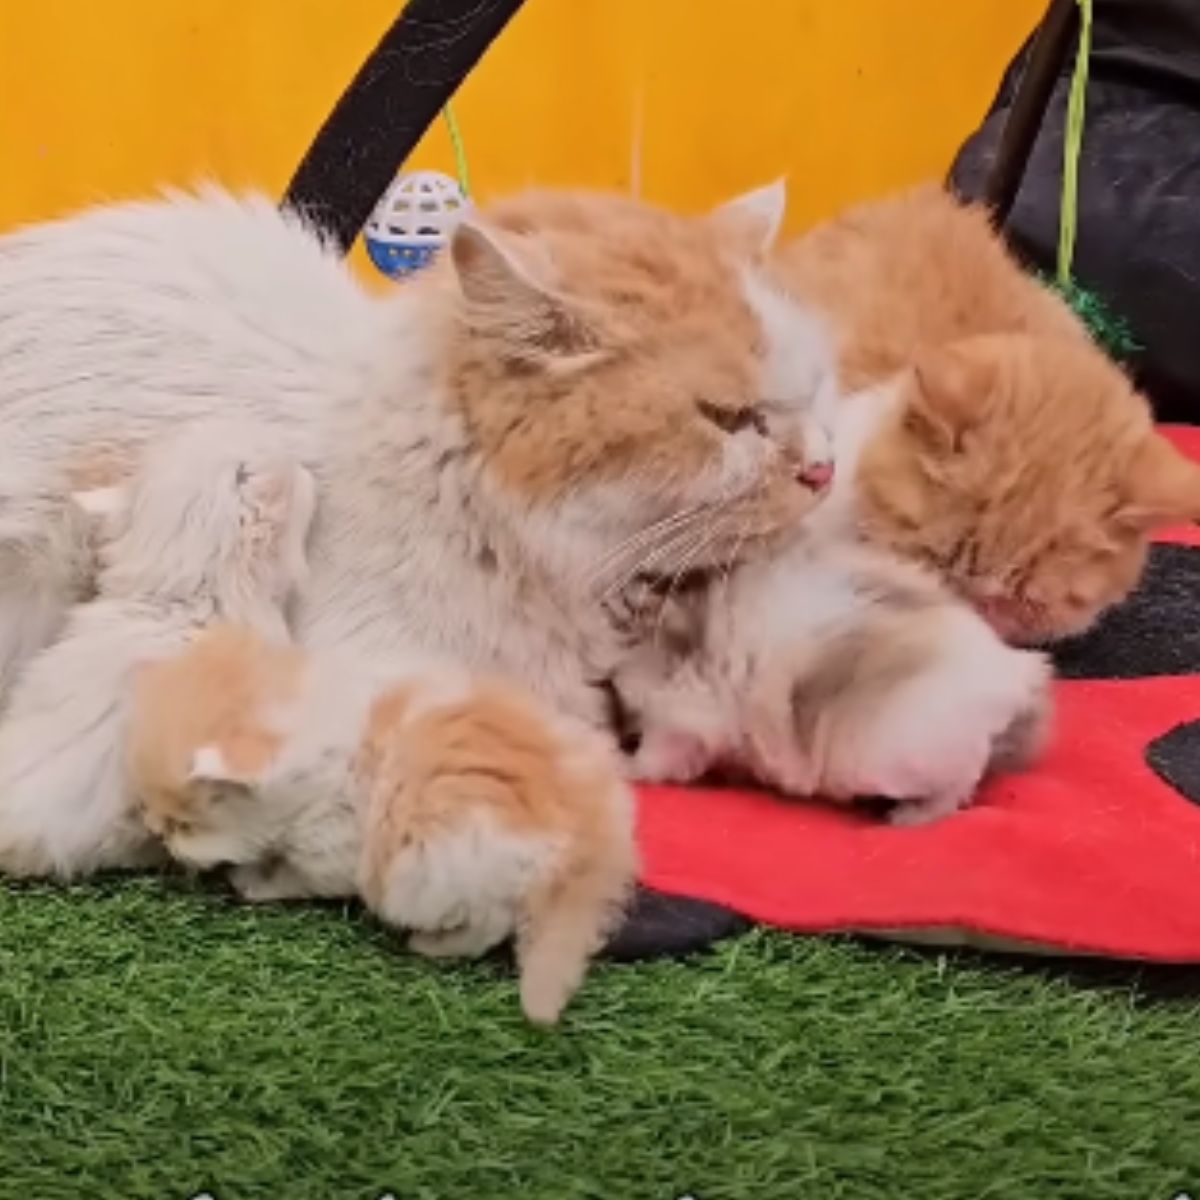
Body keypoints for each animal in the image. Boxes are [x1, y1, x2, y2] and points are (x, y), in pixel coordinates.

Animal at [127, 624, 643, 1027]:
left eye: (184, 825)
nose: (153, 827)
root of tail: (590, 824)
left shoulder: (329, 853)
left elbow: (289, 876)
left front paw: (250, 881)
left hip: (432, 868)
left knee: (488, 924)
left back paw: (431, 945)